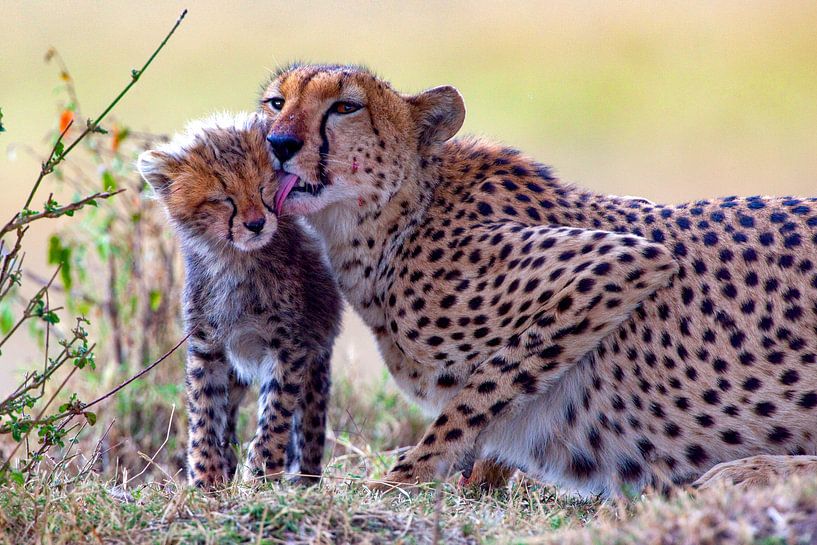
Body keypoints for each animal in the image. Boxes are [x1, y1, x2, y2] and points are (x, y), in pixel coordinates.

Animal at [137, 112, 341, 488]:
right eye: (223, 198)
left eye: (264, 186)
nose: (257, 224)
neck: (234, 260)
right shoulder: (208, 346)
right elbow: (204, 410)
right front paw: (206, 475)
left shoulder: (289, 346)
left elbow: (275, 412)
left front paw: (261, 471)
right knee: (229, 413)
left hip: (317, 354)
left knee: (309, 423)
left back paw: (304, 479)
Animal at [257, 64, 817, 497]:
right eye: (275, 102)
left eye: (345, 107)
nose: (278, 143)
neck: (399, 218)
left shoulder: (621, 262)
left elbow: (479, 393)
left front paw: (398, 480)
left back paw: (749, 472)